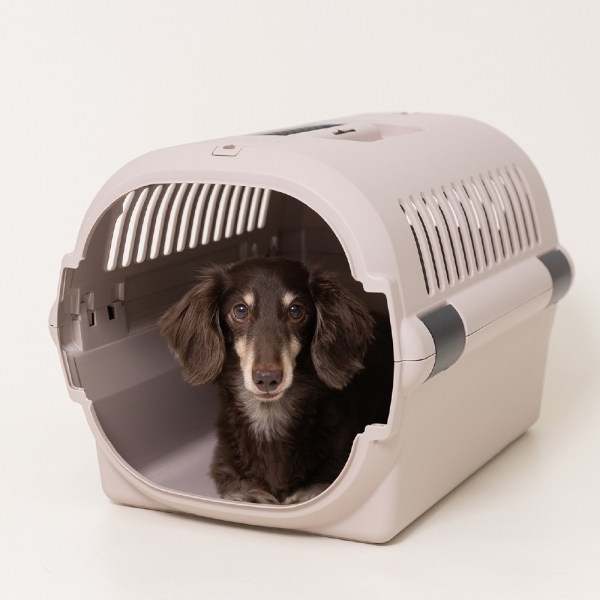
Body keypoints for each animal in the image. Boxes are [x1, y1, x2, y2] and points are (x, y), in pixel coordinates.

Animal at [159, 257, 392, 504]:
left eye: (295, 310)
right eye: (240, 310)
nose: (267, 378)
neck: (269, 417)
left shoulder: (318, 488)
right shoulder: (242, 490)